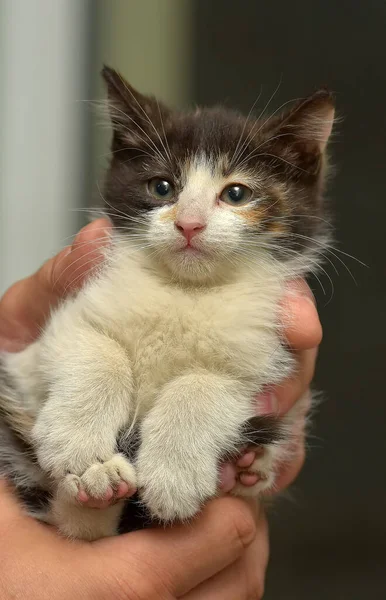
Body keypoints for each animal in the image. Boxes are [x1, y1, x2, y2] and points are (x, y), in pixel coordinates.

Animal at [0, 65, 334, 540]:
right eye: (162, 187)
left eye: (236, 194)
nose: (189, 224)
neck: (185, 292)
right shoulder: (41, 342)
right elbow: (97, 351)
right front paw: (78, 446)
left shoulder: (263, 359)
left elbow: (205, 384)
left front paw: (174, 475)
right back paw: (99, 482)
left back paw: (250, 466)